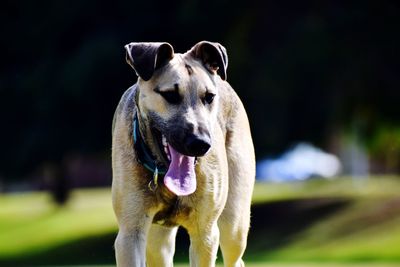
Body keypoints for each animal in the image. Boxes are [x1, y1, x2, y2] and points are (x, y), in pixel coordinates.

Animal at [111, 40, 255, 267]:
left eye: (209, 97)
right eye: (170, 95)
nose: (201, 143)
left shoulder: (205, 234)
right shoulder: (130, 234)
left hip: (235, 224)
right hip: (157, 244)